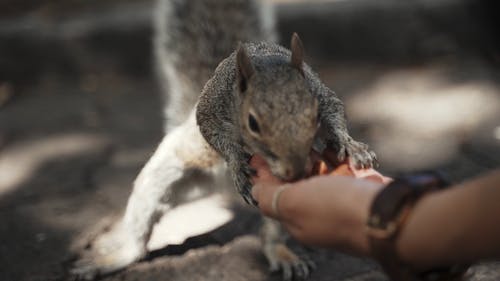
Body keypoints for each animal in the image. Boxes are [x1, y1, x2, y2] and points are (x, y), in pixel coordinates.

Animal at [70, 0, 376, 280]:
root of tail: (222, 187)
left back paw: (281, 253)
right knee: (139, 237)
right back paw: (111, 259)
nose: (297, 172)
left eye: (313, 115)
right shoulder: (210, 107)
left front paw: (351, 146)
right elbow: (211, 130)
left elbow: (335, 110)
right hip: (168, 176)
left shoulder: (320, 92)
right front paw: (236, 162)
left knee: (270, 235)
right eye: (253, 123)